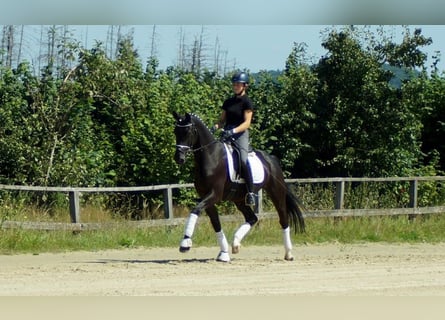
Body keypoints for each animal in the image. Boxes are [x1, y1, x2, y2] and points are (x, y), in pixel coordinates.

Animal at [172, 112, 304, 262]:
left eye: (188, 132)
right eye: (175, 131)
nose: (179, 158)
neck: (211, 156)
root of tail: (271, 159)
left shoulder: (214, 194)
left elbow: (195, 210)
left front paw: (185, 243)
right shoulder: (206, 197)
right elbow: (216, 223)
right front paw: (224, 253)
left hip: (276, 193)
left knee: (283, 219)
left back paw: (289, 254)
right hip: (239, 199)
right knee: (252, 218)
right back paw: (235, 244)